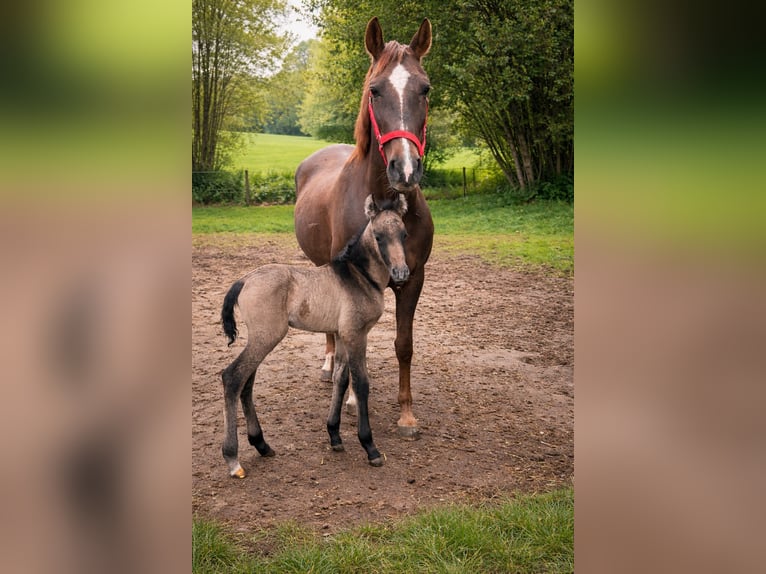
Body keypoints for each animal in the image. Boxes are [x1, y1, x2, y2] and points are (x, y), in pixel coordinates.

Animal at [220, 194, 410, 478]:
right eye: (378, 236)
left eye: (404, 234)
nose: (401, 273)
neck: (359, 277)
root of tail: (244, 280)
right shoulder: (356, 334)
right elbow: (361, 384)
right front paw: (370, 447)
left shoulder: (341, 335)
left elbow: (341, 379)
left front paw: (335, 436)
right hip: (267, 337)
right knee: (232, 377)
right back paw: (233, 459)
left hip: (259, 339)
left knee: (247, 383)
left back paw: (262, 444)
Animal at [294, 17, 433, 439]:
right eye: (375, 90)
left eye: (425, 89)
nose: (405, 169)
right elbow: (351, 341)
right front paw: (354, 398)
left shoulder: (413, 278)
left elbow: (404, 343)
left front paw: (406, 414)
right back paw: (328, 367)